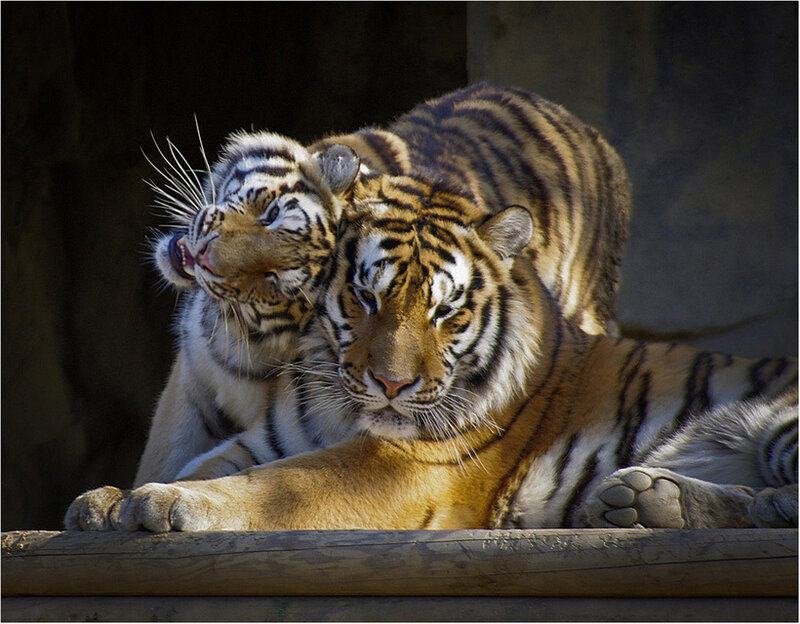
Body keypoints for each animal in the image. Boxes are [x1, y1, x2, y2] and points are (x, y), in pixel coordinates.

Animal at [65, 172, 797, 532]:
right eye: (364, 296)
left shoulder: (406, 464)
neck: (335, 401)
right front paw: (107, 500)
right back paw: (645, 499)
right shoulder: (269, 438)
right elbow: (213, 466)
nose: (392, 386)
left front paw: (161, 504)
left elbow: (275, 488)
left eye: (447, 311)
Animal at [128, 83, 632, 488]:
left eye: (273, 282)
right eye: (269, 213)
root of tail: (589, 132)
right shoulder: (189, 386)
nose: (206, 260)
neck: (238, 339)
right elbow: (160, 463)